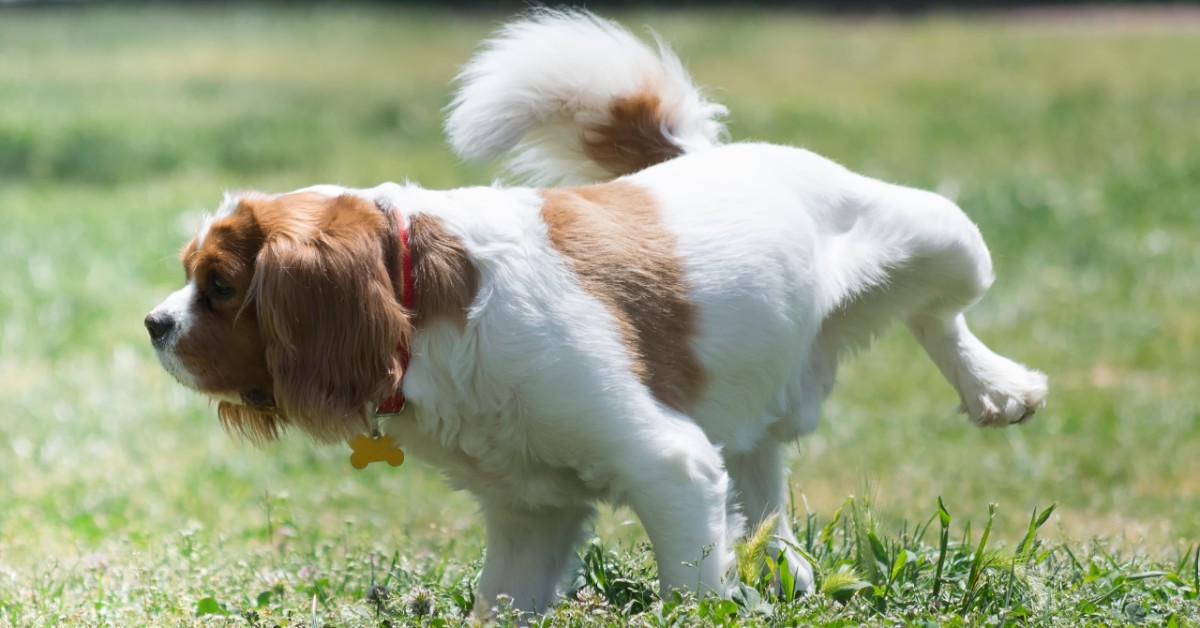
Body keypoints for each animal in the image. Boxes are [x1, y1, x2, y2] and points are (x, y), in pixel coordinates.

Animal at [142, 8, 1041, 619]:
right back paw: (784, 569)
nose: (154, 324)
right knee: (764, 481)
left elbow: (690, 589)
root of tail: (705, 157)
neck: (427, 315)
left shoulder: (670, 467)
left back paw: (998, 388)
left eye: (218, 285)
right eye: (191, 277)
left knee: (943, 313)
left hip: (942, 234)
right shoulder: (529, 519)